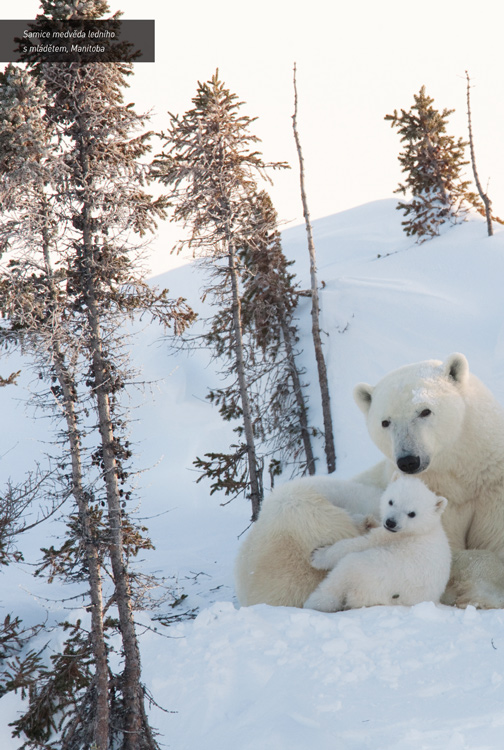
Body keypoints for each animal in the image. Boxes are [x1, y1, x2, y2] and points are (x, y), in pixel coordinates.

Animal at [302, 478, 450, 612]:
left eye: (412, 513)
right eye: (391, 501)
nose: (391, 522)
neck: (422, 530)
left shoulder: (390, 537)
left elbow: (359, 543)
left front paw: (318, 555)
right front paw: (365, 521)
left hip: (374, 575)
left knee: (346, 569)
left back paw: (315, 601)